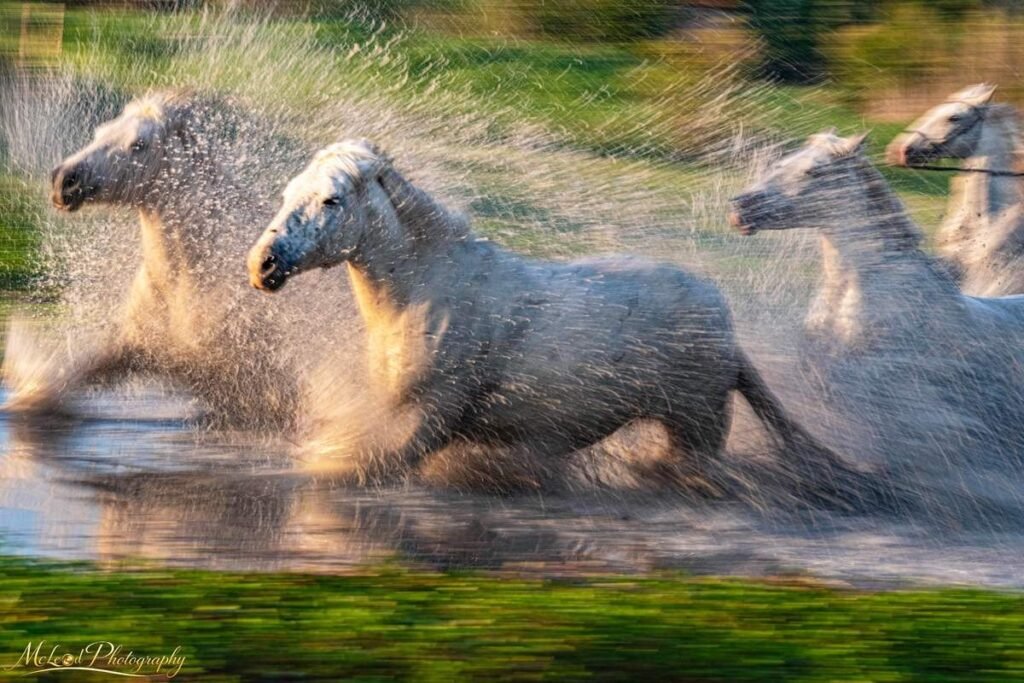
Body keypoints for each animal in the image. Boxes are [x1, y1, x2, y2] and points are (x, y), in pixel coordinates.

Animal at [6, 90, 308, 427]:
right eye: (100, 132)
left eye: (139, 144)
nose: (64, 180)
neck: (186, 276)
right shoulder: (140, 345)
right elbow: (75, 372)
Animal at [246, 138, 887, 507]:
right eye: (288, 192)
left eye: (331, 200)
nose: (264, 264)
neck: (428, 289)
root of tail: (723, 320)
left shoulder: (429, 414)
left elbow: (356, 468)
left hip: (697, 420)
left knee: (696, 472)